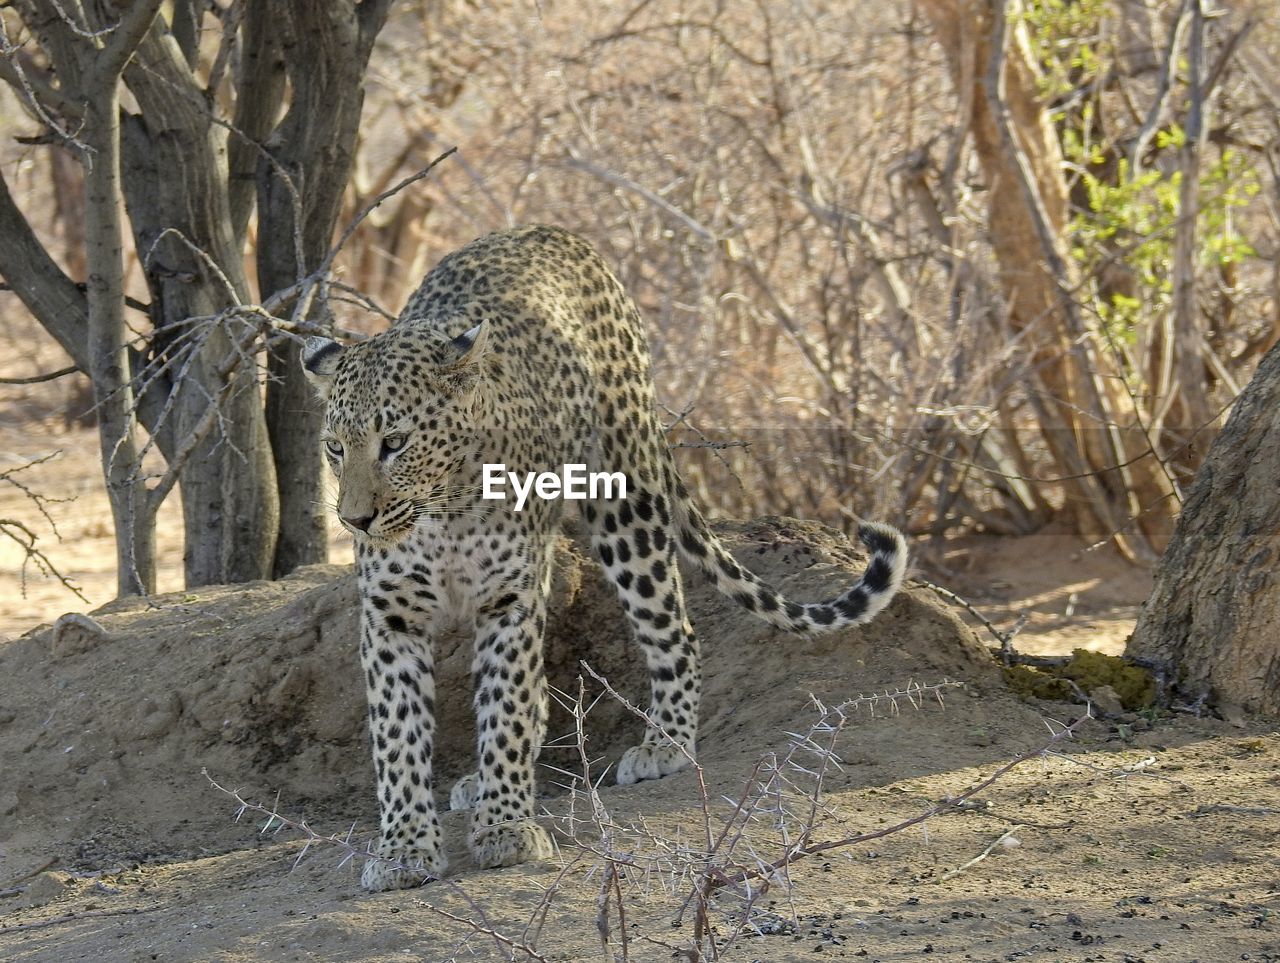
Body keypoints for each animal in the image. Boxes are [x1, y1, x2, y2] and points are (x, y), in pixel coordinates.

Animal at [300, 221, 906, 891]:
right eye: (334, 448)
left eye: (395, 442)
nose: (355, 520)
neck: (443, 510)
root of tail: (551, 230)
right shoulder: (392, 613)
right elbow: (398, 732)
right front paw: (405, 848)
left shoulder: (512, 598)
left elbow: (506, 709)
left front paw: (506, 827)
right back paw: (478, 784)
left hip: (627, 501)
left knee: (673, 632)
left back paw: (665, 745)